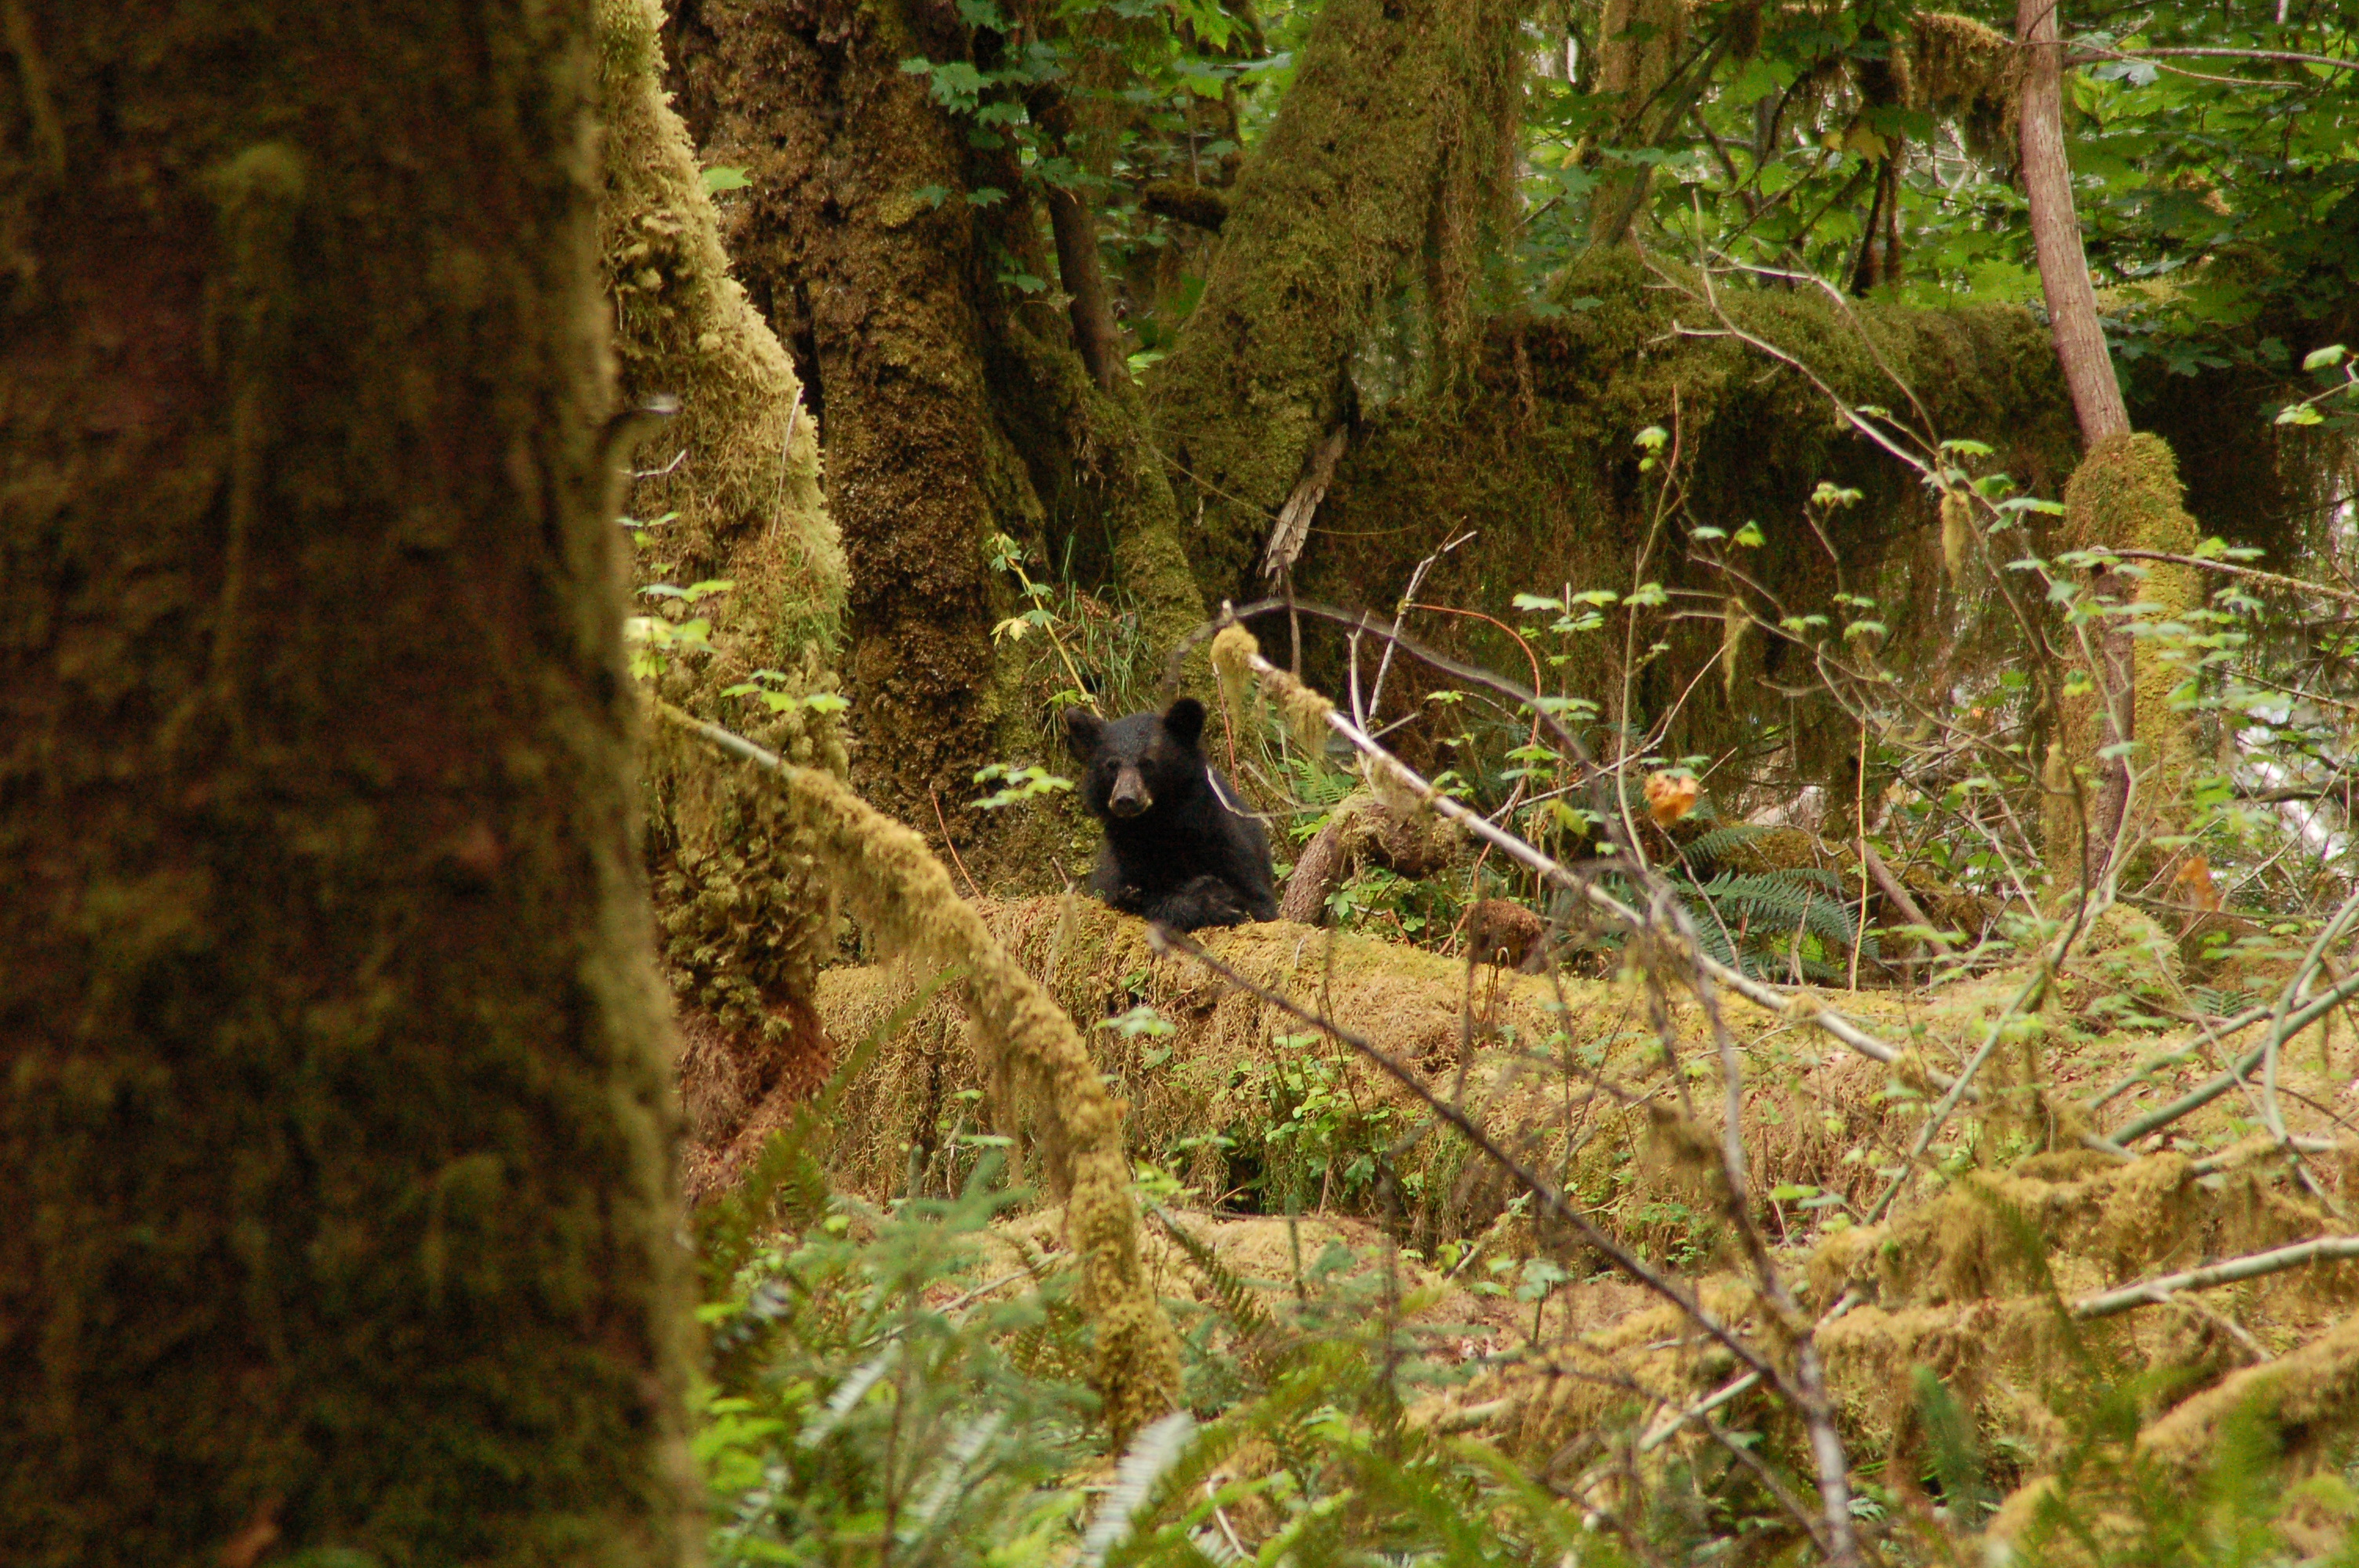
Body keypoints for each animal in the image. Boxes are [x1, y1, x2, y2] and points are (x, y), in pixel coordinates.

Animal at [1070, 698, 1283, 928]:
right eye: (1111, 765)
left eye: (1147, 763)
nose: (1125, 799)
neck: (1156, 824)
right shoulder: (1121, 859)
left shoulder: (1222, 839)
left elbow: (1257, 899)